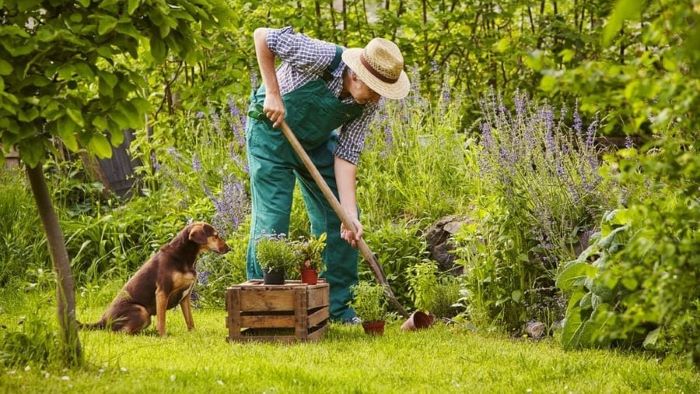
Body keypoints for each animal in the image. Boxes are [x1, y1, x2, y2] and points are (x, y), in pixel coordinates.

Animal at [81, 222, 230, 336]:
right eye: (215, 236)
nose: (229, 248)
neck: (182, 257)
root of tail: (102, 321)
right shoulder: (162, 292)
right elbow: (161, 320)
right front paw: (163, 336)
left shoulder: (185, 297)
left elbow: (190, 320)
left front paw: (193, 333)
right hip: (141, 311)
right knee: (122, 332)